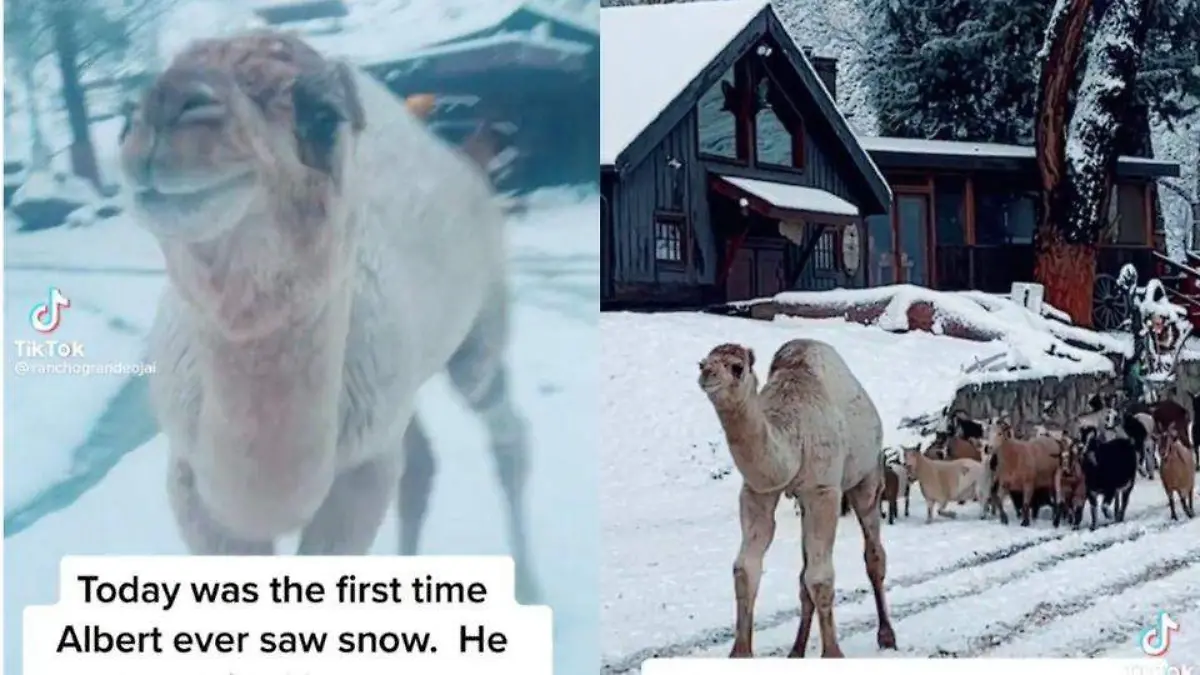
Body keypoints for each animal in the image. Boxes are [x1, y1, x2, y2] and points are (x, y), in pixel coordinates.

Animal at [118, 31, 540, 598]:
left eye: (323, 114)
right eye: (131, 109)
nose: (167, 108)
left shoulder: (360, 473)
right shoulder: (190, 483)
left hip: (479, 329)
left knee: (501, 424)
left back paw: (531, 589)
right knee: (421, 463)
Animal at [700, 338, 897, 653]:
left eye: (737, 367)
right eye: (702, 363)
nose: (707, 376)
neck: (792, 435)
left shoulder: (823, 490)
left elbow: (820, 578)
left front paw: (834, 654)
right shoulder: (758, 491)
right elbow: (745, 570)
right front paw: (740, 652)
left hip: (867, 476)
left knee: (873, 554)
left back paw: (887, 635)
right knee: (805, 573)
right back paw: (796, 651)